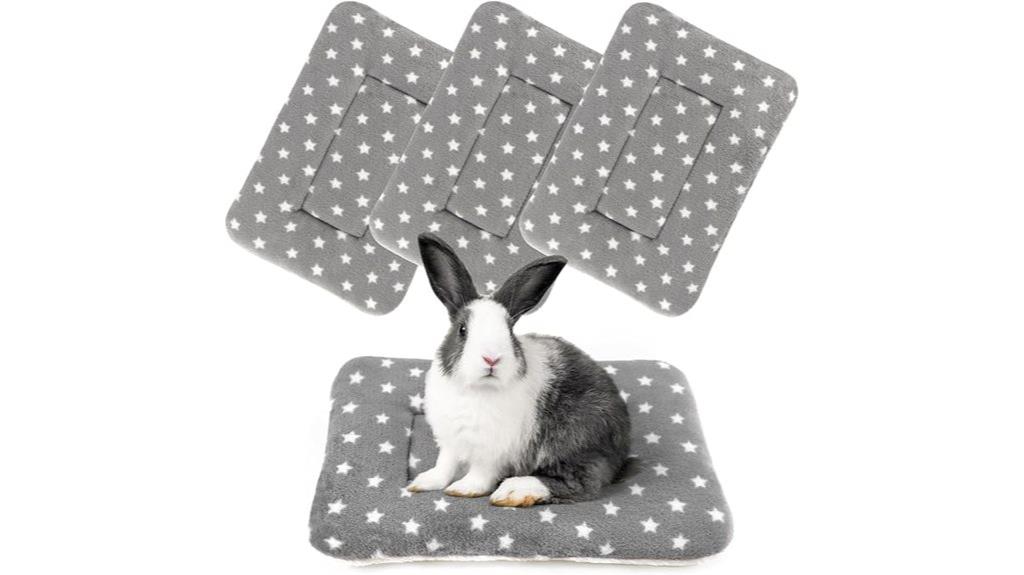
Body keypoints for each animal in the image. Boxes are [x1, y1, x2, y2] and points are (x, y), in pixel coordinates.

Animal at [406, 232, 631, 507]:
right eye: (462, 330)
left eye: (509, 331)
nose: (491, 358)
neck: (477, 389)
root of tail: (623, 446)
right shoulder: (451, 440)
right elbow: (444, 464)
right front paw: (423, 482)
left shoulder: (493, 448)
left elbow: (481, 472)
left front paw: (463, 489)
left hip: (575, 437)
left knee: (581, 483)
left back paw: (514, 491)